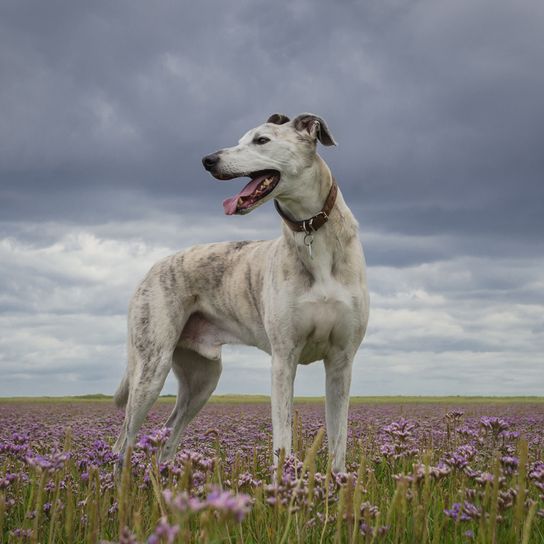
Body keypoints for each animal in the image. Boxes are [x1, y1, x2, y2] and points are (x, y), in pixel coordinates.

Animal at [114, 111, 370, 472]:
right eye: (240, 139)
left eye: (261, 140)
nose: (208, 160)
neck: (311, 231)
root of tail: (151, 270)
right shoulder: (283, 359)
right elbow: (282, 440)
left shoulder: (341, 362)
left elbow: (339, 446)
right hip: (150, 368)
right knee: (123, 441)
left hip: (201, 380)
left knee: (169, 433)